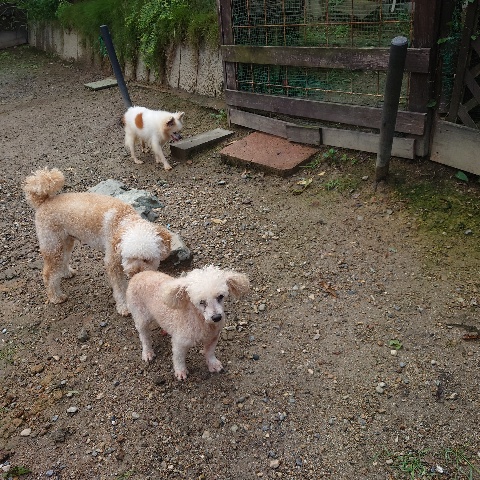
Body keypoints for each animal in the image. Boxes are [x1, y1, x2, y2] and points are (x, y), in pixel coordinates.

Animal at [23, 167, 173, 316]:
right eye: (129, 257)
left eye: (147, 259)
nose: (136, 273)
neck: (124, 220)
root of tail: (43, 201)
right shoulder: (113, 262)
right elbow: (120, 288)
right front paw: (124, 307)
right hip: (52, 244)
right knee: (48, 273)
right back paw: (55, 297)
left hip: (65, 241)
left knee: (63, 260)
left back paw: (66, 273)